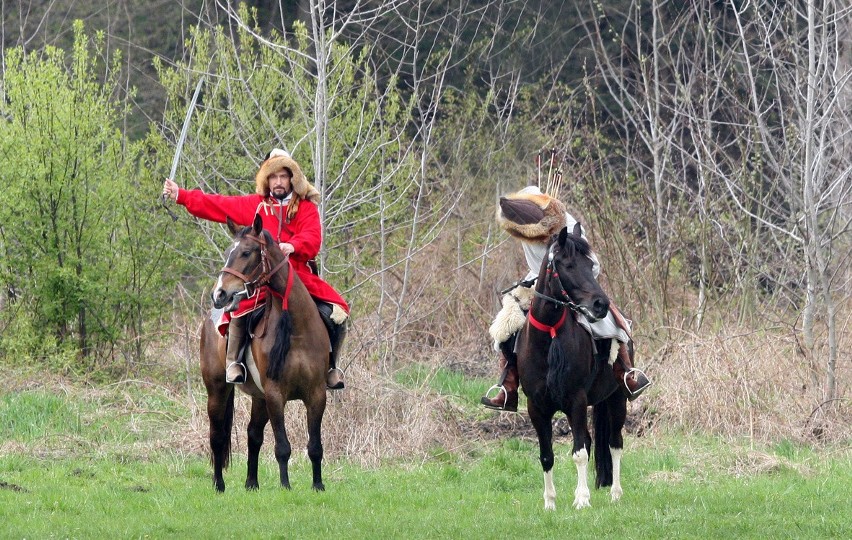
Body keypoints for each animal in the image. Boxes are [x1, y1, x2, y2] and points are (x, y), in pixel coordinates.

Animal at [200, 213, 330, 492]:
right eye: (228, 252)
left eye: (246, 252)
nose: (220, 294)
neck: (297, 329)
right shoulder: (275, 394)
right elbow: (282, 446)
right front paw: (285, 486)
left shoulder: (317, 394)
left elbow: (315, 446)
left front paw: (318, 485)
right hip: (217, 390)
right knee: (217, 436)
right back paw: (219, 484)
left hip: (259, 399)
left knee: (253, 435)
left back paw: (252, 483)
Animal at [516, 224, 628, 510]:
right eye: (568, 265)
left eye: (590, 265)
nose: (601, 304)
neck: (549, 335)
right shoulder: (536, 408)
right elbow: (546, 455)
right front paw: (550, 503)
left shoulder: (576, 401)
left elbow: (579, 453)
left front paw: (582, 500)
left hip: (617, 399)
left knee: (614, 443)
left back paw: (615, 494)